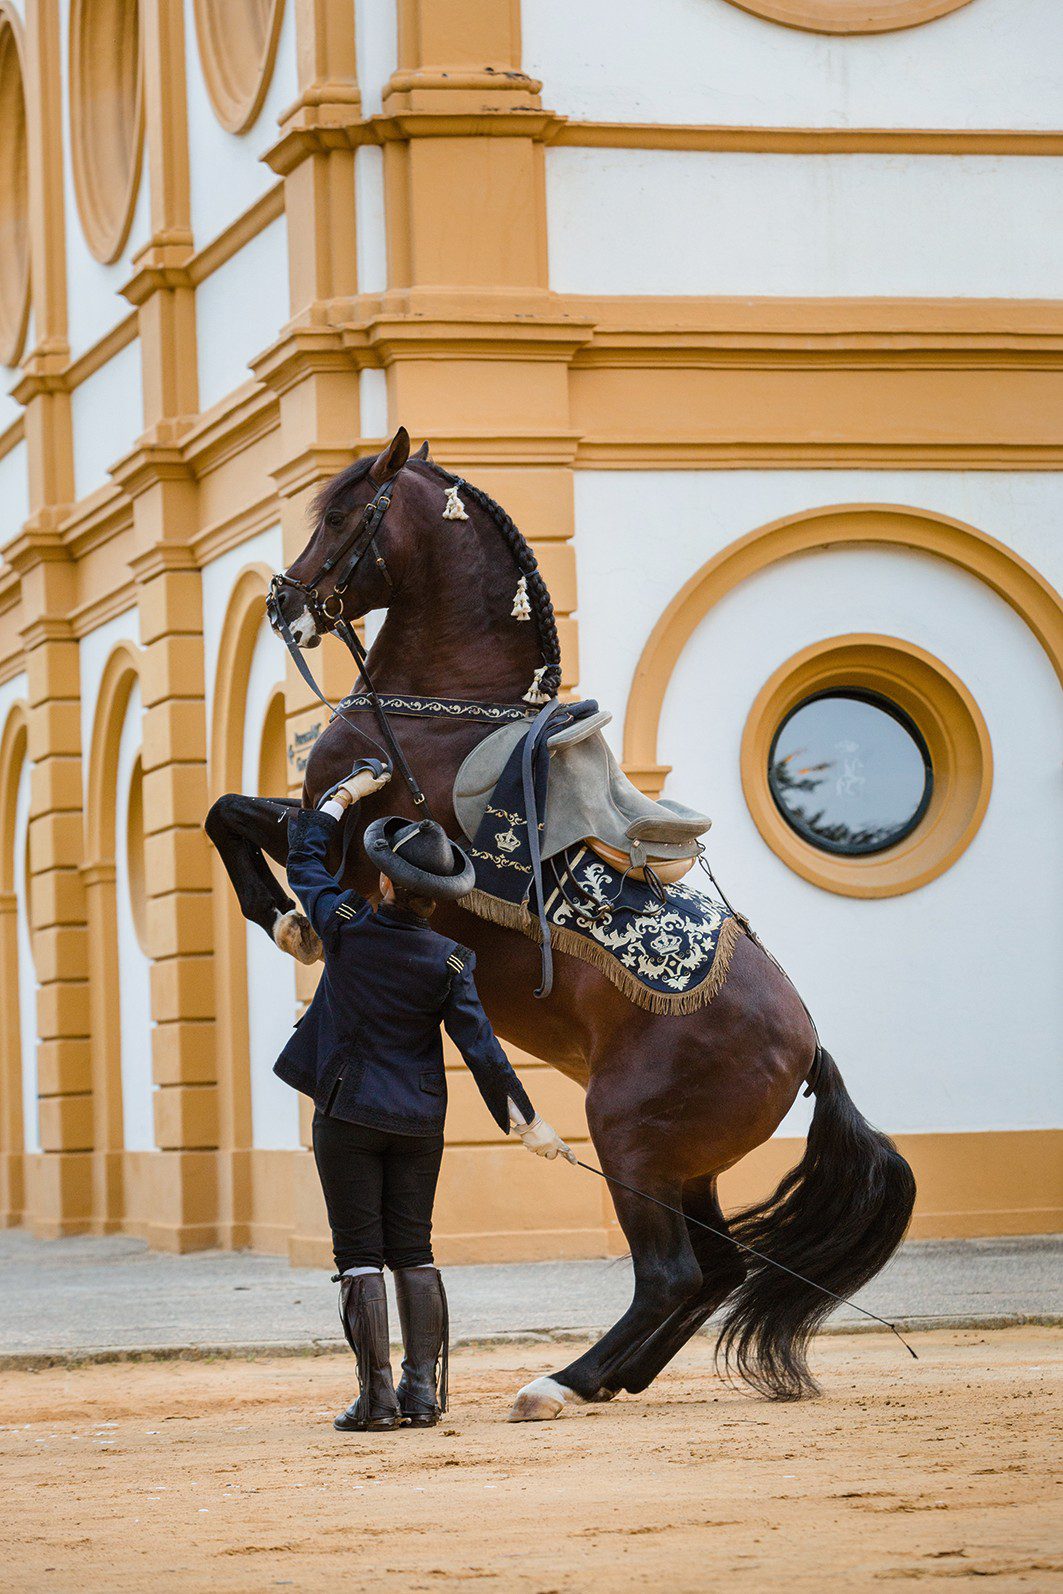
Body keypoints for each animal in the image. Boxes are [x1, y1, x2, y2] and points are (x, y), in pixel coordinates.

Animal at [206, 426, 916, 1419]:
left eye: (342, 516)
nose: (284, 603)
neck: (447, 709)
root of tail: (808, 1049)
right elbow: (226, 810)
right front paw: (282, 918)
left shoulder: (345, 849)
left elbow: (241, 822)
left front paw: (285, 921)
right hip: (680, 1164)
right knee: (714, 1270)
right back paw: (612, 1379)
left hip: (626, 1135)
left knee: (670, 1274)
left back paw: (561, 1381)